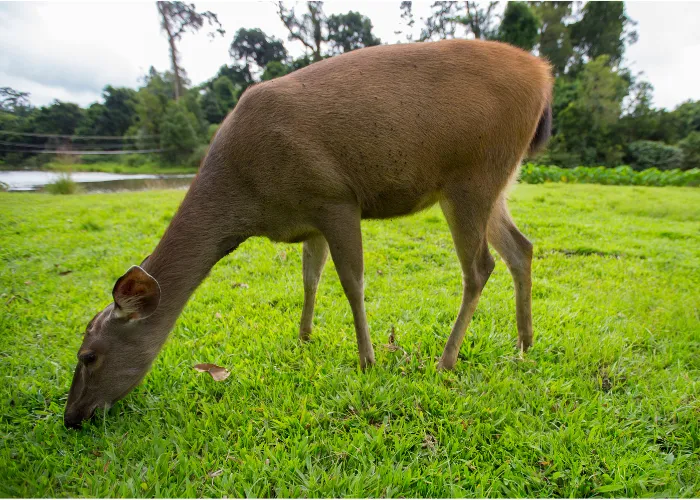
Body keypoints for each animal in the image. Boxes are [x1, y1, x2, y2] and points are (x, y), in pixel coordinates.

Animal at [64, 40, 552, 430]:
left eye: (88, 356)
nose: (71, 417)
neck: (250, 200)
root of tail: (544, 76)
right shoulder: (309, 219)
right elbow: (310, 278)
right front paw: (303, 337)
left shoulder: (335, 197)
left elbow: (352, 282)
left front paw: (368, 360)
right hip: (496, 180)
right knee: (521, 248)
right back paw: (524, 342)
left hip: (473, 173)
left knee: (480, 266)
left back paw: (446, 360)